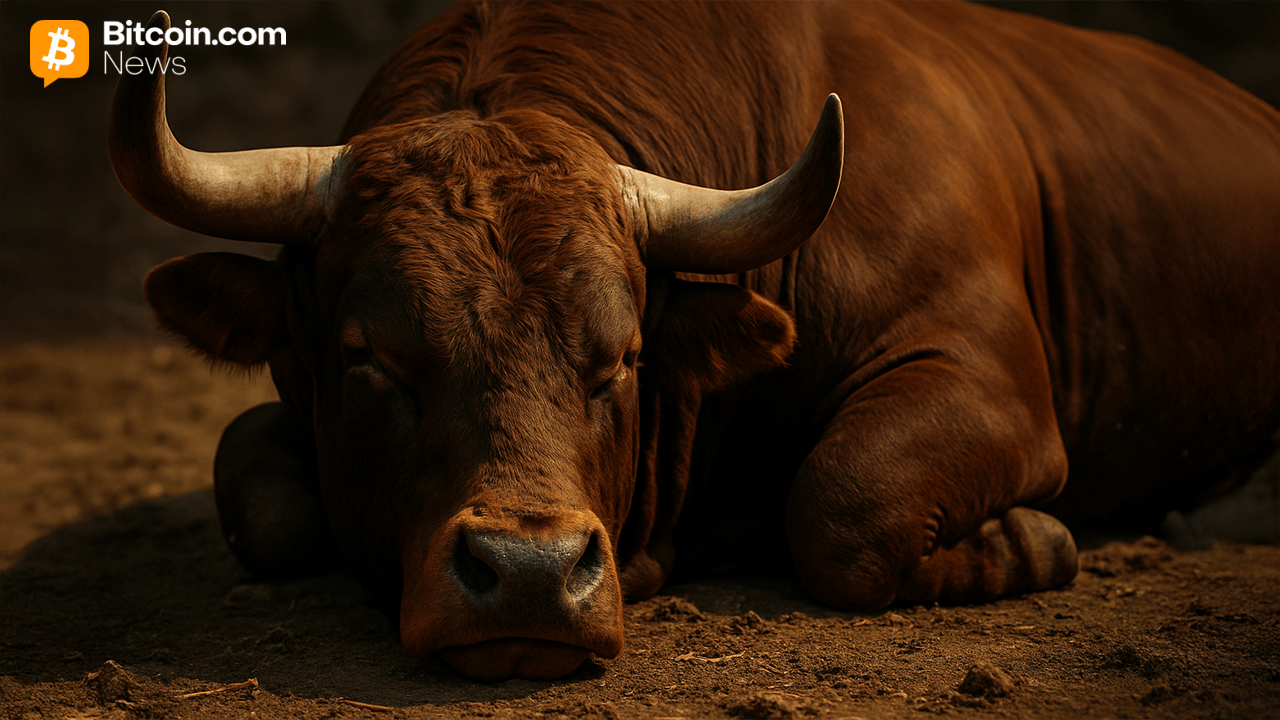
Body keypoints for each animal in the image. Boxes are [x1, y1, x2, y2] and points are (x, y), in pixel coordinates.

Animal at [108, 2, 1280, 681]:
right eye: (369, 356)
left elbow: (841, 503)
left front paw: (1027, 541)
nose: (529, 574)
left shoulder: (987, 383)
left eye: (621, 357)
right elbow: (253, 484)